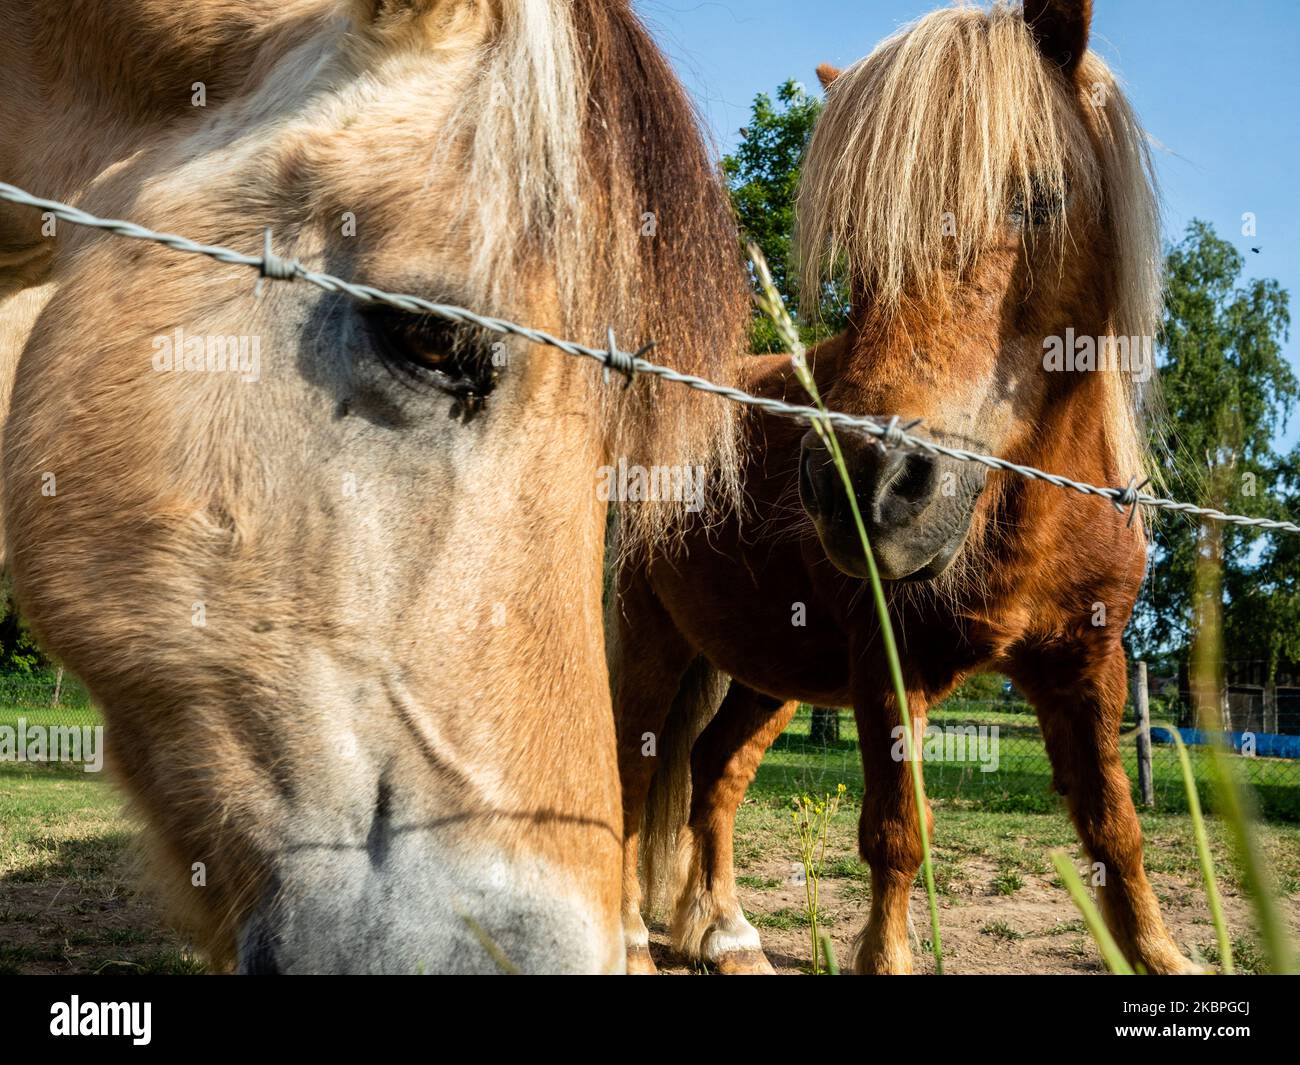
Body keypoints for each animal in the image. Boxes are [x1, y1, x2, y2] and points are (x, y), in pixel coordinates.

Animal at [611, 0, 1196, 977]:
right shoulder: (891, 664)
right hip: (656, 638)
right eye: (853, 238)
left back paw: (729, 934)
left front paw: (1163, 954)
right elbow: (896, 833)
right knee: (634, 766)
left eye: (1040, 199)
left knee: (714, 770)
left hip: (773, 669)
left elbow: (1116, 829)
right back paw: (625, 937)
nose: (869, 479)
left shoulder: (1090, 665)